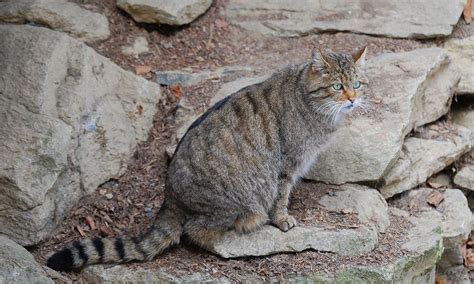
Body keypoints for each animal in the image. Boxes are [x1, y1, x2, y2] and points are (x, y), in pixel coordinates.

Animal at [46, 47, 368, 272]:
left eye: (358, 84)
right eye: (337, 87)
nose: (353, 99)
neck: (309, 99)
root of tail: (170, 195)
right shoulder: (286, 165)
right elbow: (280, 196)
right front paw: (282, 218)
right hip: (233, 201)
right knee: (193, 229)